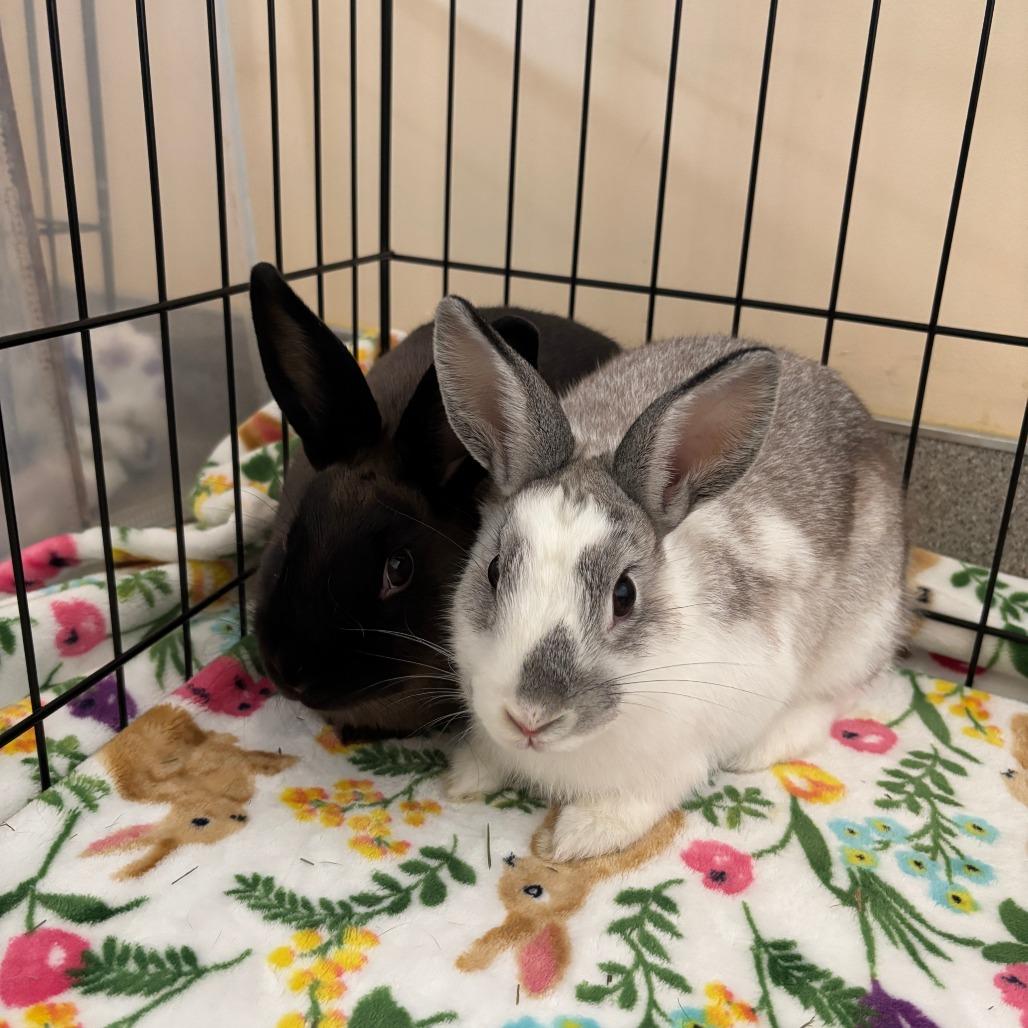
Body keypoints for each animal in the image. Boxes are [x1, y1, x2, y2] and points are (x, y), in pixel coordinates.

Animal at [432, 295, 909, 861]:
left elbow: (645, 796)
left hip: (860, 633)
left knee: (834, 698)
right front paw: (466, 777)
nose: (530, 716)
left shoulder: (690, 744)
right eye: (494, 569)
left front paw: (580, 836)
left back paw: (761, 749)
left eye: (625, 594)